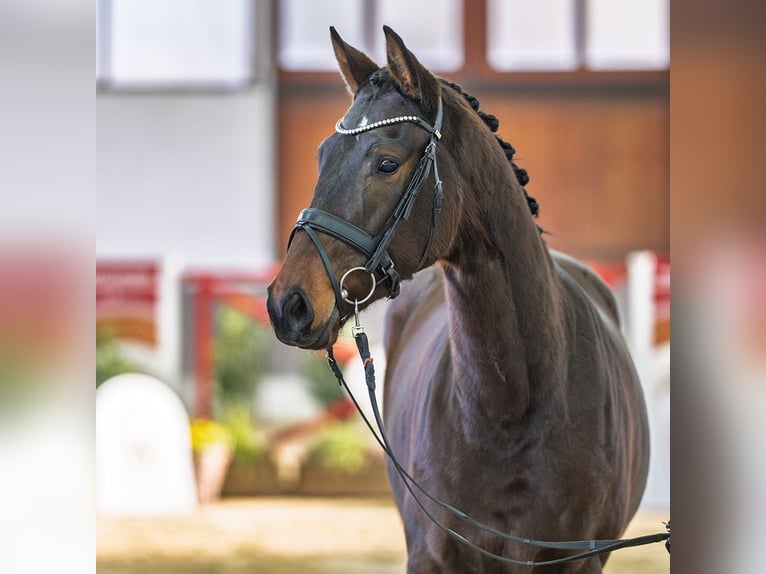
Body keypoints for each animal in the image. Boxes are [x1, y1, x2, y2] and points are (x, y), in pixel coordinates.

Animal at [267, 26, 649, 573]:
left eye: (386, 163)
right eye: (323, 156)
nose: (287, 304)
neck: (511, 406)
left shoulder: (578, 561)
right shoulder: (431, 557)